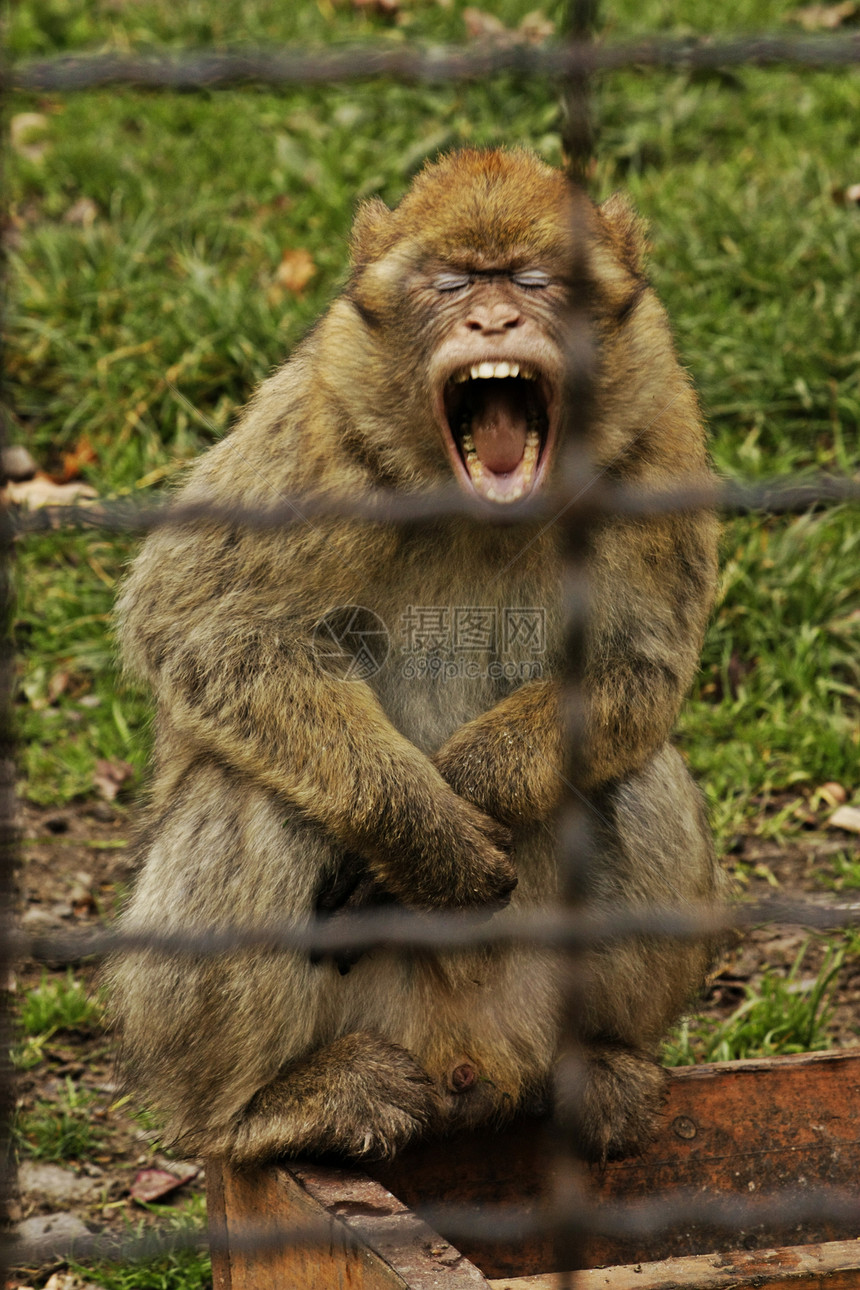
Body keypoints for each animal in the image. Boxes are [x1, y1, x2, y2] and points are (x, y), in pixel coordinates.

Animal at [107, 148, 727, 1171]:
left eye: (532, 282)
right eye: (452, 285)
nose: (494, 320)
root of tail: (468, 1058)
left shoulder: (660, 436)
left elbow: (643, 667)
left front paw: (471, 790)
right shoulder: (313, 439)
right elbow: (200, 625)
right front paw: (424, 836)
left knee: (638, 778)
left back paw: (596, 1065)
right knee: (253, 795)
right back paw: (263, 1109)